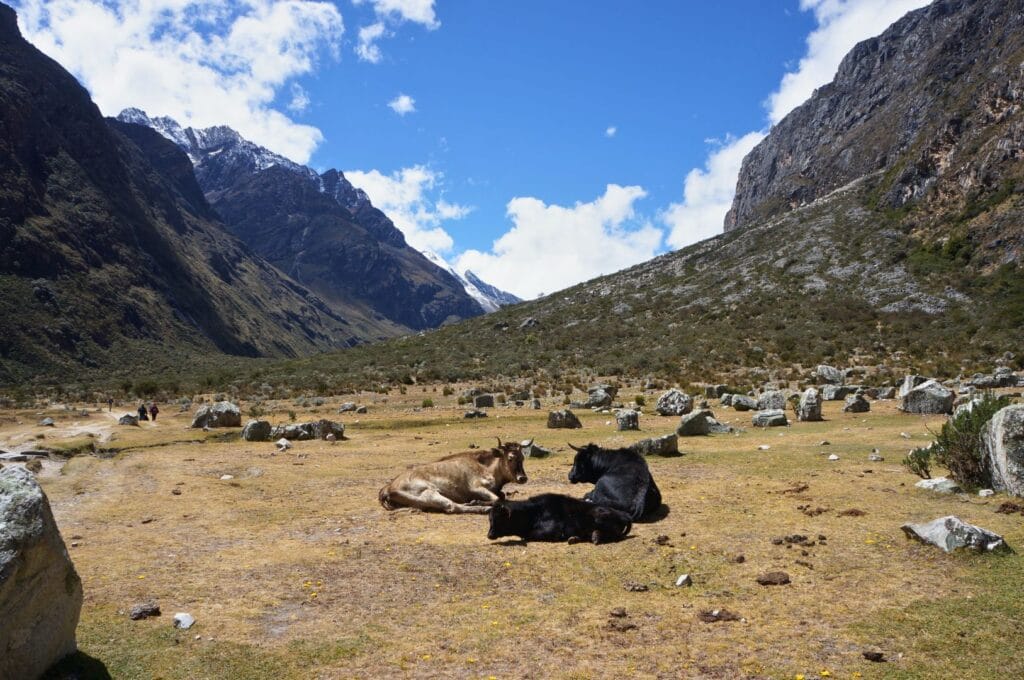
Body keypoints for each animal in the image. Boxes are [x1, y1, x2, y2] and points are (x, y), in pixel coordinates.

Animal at [380, 438, 532, 512]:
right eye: (510, 458)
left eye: (522, 458)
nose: (523, 478)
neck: (485, 466)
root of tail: (387, 488)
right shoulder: (476, 487)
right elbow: (498, 499)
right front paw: (479, 501)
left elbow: (502, 495)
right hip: (430, 493)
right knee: (452, 507)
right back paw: (483, 508)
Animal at [485, 491, 630, 544]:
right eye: (490, 519)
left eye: (499, 518)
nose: (489, 535)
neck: (533, 512)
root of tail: (623, 515)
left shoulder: (552, 530)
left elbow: (530, 535)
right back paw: (575, 538)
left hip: (599, 517)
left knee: (614, 535)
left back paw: (595, 537)